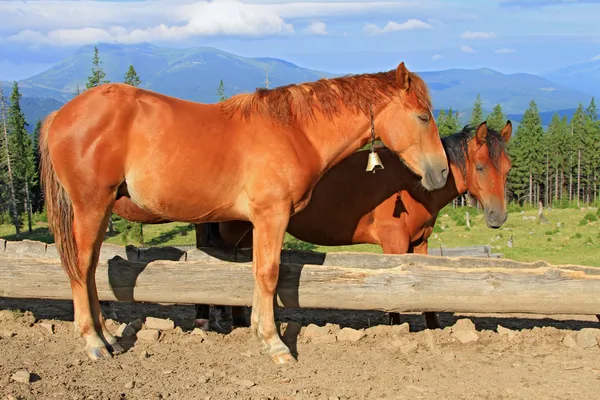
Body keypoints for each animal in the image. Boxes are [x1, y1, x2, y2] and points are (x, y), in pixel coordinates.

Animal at [39, 61, 448, 362]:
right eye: (423, 117)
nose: (441, 172)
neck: (293, 131)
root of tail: (62, 113)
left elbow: (257, 274)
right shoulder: (271, 216)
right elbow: (268, 274)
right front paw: (274, 343)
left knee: (90, 266)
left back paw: (107, 335)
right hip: (91, 205)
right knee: (81, 266)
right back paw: (94, 342)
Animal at [111, 121, 510, 332]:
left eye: (506, 167)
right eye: (479, 167)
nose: (498, 217)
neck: (413, 181)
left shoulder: (420, 243)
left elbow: (426, 290)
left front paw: (434, 329)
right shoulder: (394, 244)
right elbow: (392, 293)